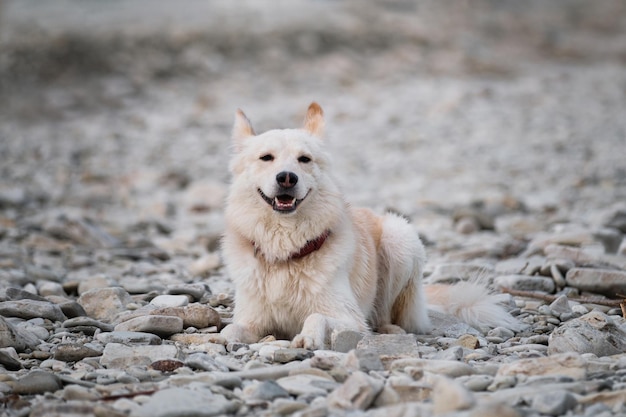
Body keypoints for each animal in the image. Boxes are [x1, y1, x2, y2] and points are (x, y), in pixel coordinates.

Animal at [219, 103, 516, 348]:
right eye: (266, 158)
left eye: (304, 159)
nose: (287, 178)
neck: (286, 251)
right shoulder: (251, 319)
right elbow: (230, 330)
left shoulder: (350, 318)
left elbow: (316, 316)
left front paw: (307, 337)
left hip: (399, 240)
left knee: (383, 315)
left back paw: (390, 331)